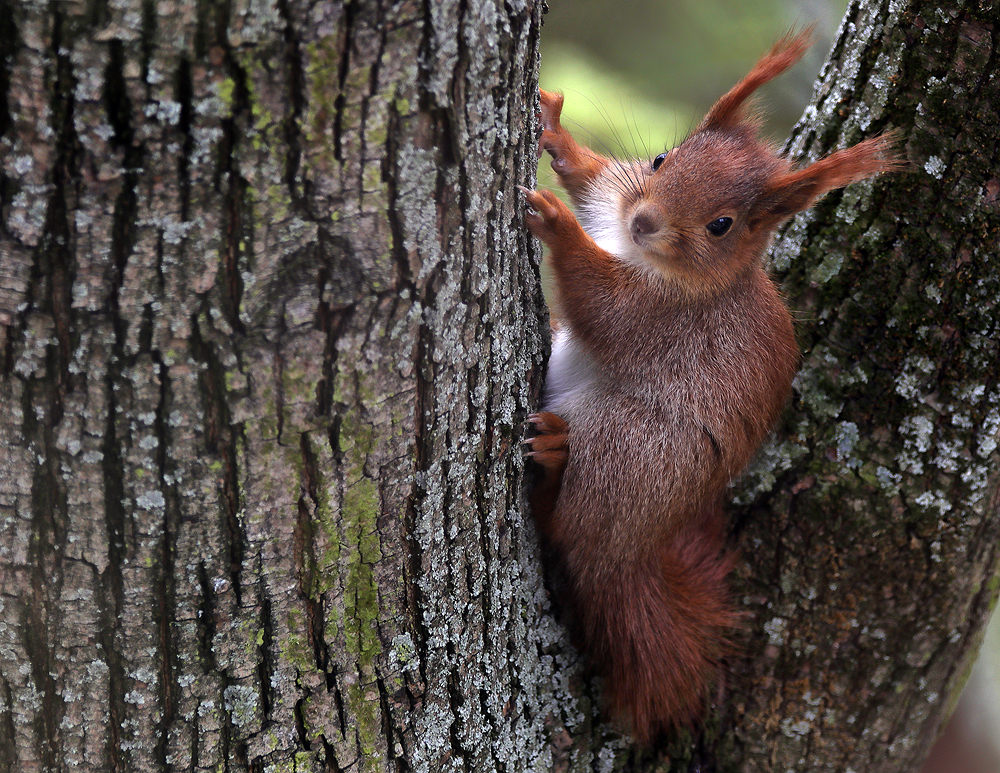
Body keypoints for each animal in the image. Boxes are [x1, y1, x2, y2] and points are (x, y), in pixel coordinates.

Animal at [524, 33, 900, 744]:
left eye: (722, 225)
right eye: (661, 158)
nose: (643, 222)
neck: (650, 260)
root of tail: (632, 551)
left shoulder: (663, 320)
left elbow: (601, 303)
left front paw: (559, 227)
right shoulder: (616, 196)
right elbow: (596, 180)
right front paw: (557, 136)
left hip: (632, 452)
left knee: (569, 528)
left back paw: (557, 460)